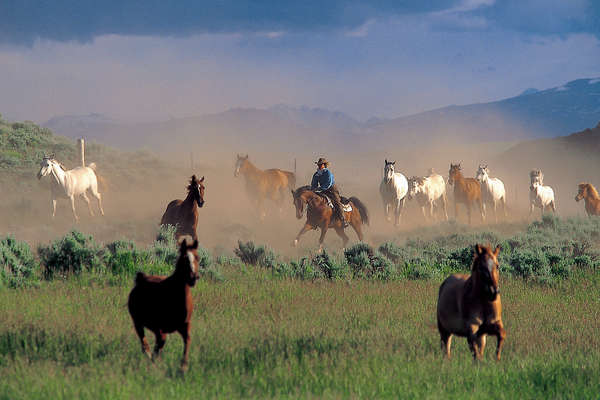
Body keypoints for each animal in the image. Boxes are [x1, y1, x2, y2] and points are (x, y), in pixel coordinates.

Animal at [127, 238, 200, 372]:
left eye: (197, 257)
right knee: (144, 342)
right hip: (138, 322)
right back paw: (149, 356)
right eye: (184, 258)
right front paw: (154, 361)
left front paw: (183, 366)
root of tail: (141, 279)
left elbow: (187, 340)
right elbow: (160, 342)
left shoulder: (184, 325)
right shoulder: (158, 327)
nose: (194, 277)